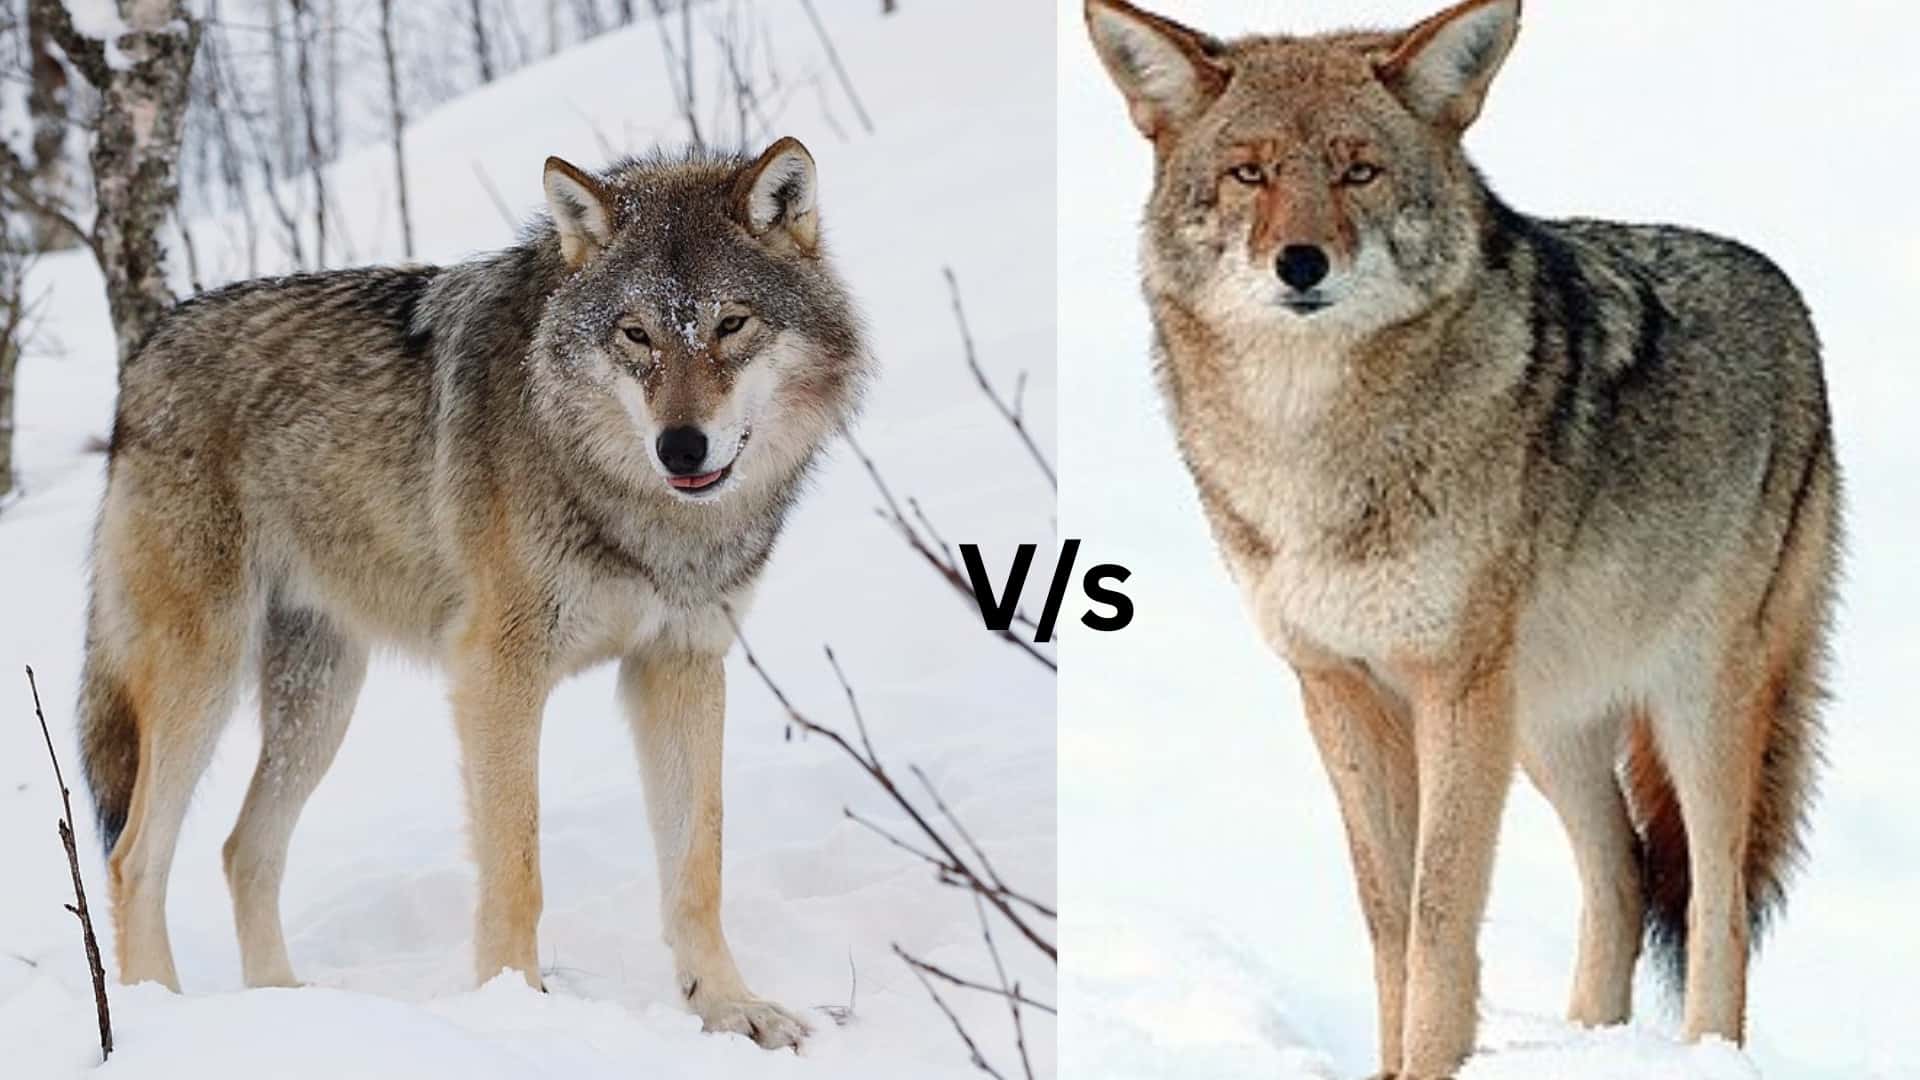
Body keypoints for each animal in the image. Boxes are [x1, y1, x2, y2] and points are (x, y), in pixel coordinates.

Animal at [76, 136, 868, 1049]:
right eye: (635, 334)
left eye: (731, 324)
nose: (680, 446)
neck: (636, 508)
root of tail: (145, 352)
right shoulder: (498, 674)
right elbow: (517, 866)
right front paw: (518, 1011)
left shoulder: (680, 664)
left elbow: (698, 865)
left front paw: (729, 1008)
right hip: (202, 679)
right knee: (135, 857)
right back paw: (158, 1018)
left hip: (321, 701)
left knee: (245, 850)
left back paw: (289, 1009)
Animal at [1086, 0, 1838, 1074]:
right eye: (1251, 173)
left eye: (1359, 171)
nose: (1301, 263)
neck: (1311, 450)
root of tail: (1790, 300)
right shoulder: (1338, 687)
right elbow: (1387, 916)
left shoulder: (1452, 684)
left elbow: (1439, 918)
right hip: (1542, 725)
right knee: (1621, 875)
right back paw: (1587, 1043)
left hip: (1690, 705)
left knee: (1716, 908)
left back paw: (1699, 1052)